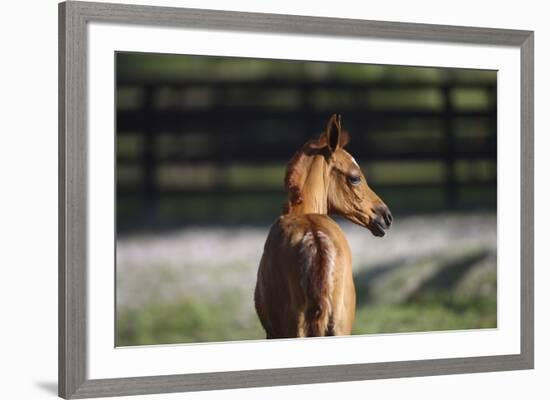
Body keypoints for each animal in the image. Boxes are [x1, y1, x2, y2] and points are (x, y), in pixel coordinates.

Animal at [254, 115, 392, 338]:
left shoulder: (272, 332)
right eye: (355, 177)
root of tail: (316, 239)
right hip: (339, 329)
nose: (386, 216)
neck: (304, 212)